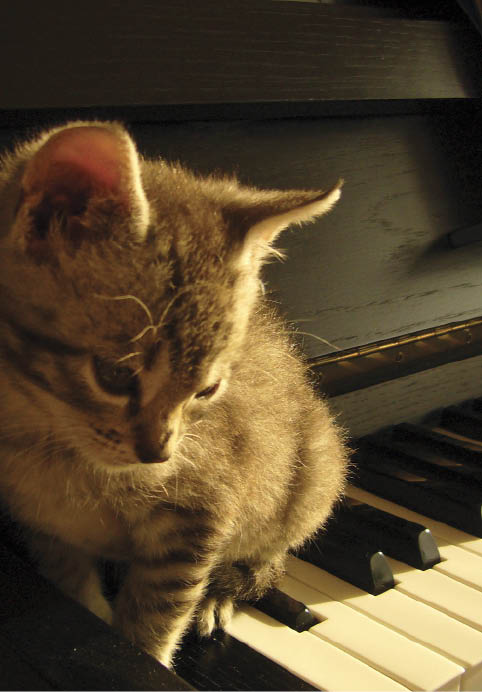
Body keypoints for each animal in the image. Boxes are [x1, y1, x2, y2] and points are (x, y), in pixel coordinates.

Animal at [0, 121, 348, 668]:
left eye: (207, 389)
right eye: (115, 375)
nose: (157, 454)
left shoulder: (200, 512)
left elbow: (157, 615)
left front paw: (147, 652)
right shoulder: (44, 528)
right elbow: (73, 590)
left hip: (315, 477)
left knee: (264, 560)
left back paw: (216, 597)